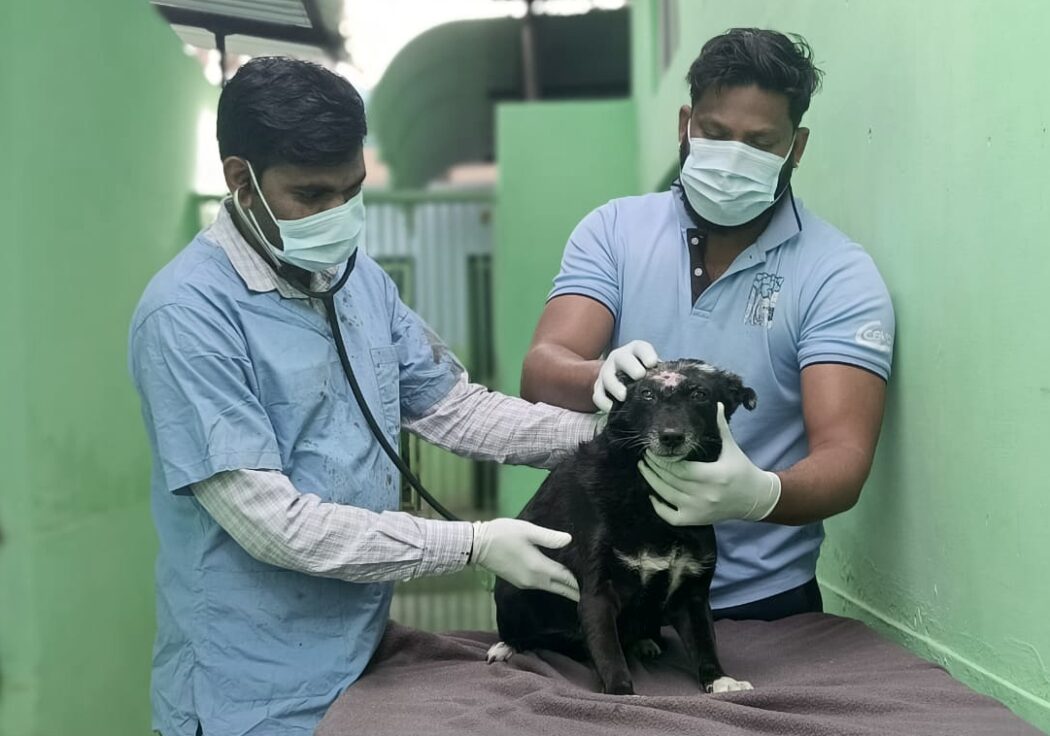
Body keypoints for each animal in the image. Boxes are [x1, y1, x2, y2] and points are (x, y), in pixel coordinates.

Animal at [487, 361, 760, 692]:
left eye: (700, 394)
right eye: (646, 394)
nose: (671, 437)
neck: (648, 495)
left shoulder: (692, 593)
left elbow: (705, 642)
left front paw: (720, 679)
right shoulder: (598, 592)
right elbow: (609, 653)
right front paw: (620, 692)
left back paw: (644, 642)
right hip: (510, 588)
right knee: (521, 631)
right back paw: (507, 646)